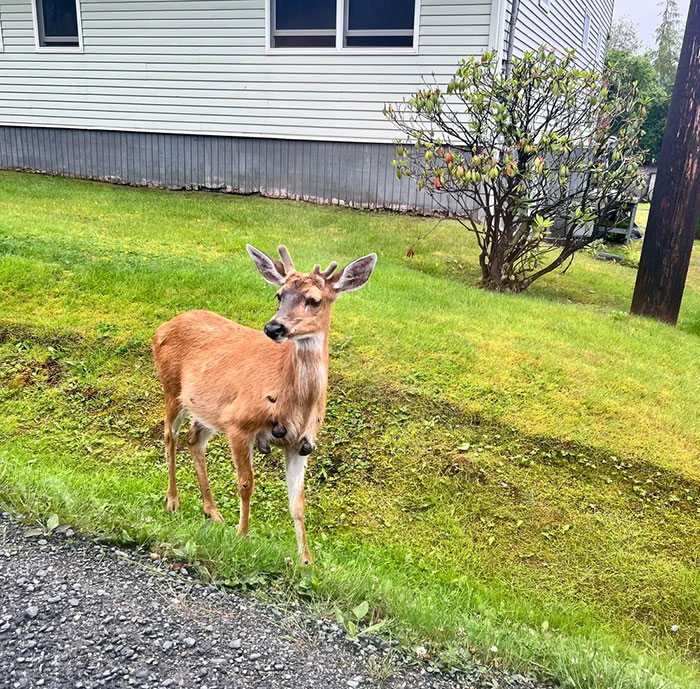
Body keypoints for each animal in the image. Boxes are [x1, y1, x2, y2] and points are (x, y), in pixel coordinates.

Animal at [152, 245, 377, 565]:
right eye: (279, 295)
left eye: (314, 300)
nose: (273, 327)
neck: (294, 403)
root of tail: (163, 326)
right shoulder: (239, 423)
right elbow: (246, 483)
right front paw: (242, 536)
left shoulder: (300, 444)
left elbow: (298, 503)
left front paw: (306, 561)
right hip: (171, 388)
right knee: (170, 435)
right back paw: (173, 501)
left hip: (208, 410)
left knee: (194, 440)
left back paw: (213, 512)